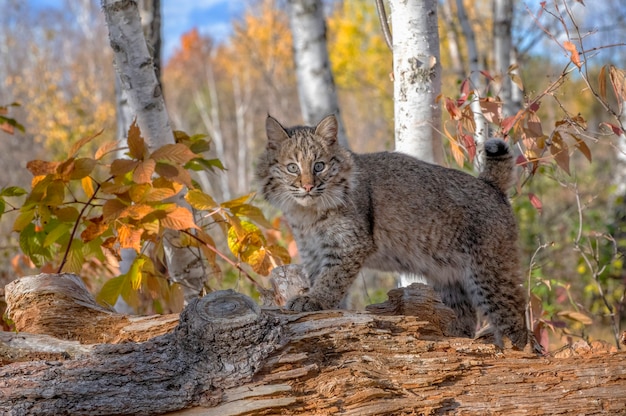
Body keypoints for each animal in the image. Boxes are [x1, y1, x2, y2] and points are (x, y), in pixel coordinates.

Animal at [258, 114, 528, 348]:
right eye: (292, 168)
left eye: (319, 166)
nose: (307, 187)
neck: (307, 212)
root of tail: (489, 184)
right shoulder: (312, 249)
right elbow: (322, 277)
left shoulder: (350, 244)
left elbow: (332, 278)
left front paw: (314, 300)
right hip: (450, 276)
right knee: (466, 317)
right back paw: (454, 339)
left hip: (490, 271)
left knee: (514, 315)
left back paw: (518, 350)